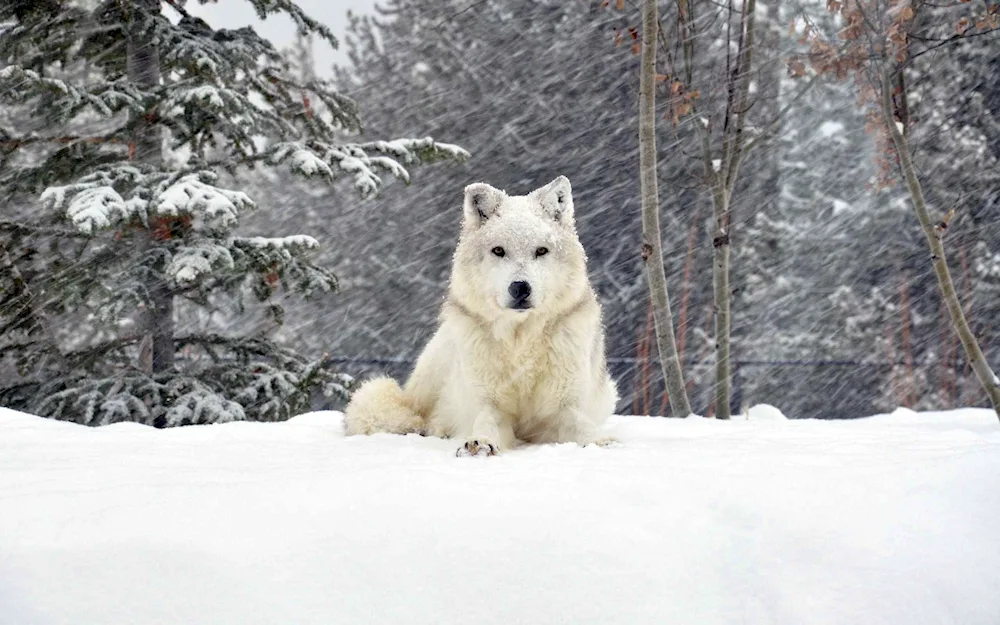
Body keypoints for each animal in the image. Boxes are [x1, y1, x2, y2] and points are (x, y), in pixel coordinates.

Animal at [348, 176, 620, 454]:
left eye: (541, 251)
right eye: (498, 251)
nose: (520, 287)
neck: (520, 342)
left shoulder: (562, 407)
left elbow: (582, 425)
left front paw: (600, 442)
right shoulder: (489, 404)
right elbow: (486, 423)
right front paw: (480, 443)